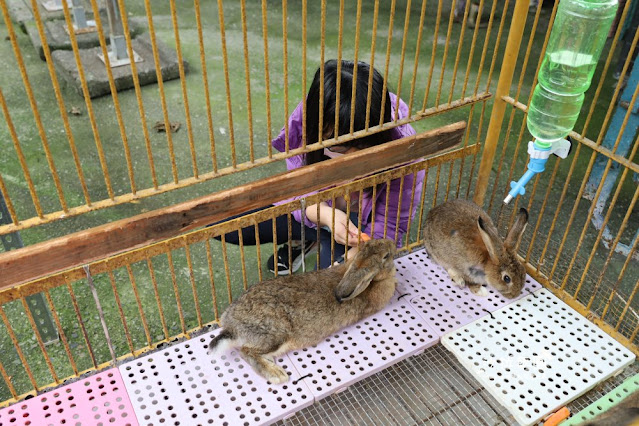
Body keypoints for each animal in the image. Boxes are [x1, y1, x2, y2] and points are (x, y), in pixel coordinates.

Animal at [208, 240, 398, 382]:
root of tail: (232, 326)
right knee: (246, 351)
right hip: (276, 335)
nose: (392, 242)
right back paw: (276, 374)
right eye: (386, 256)